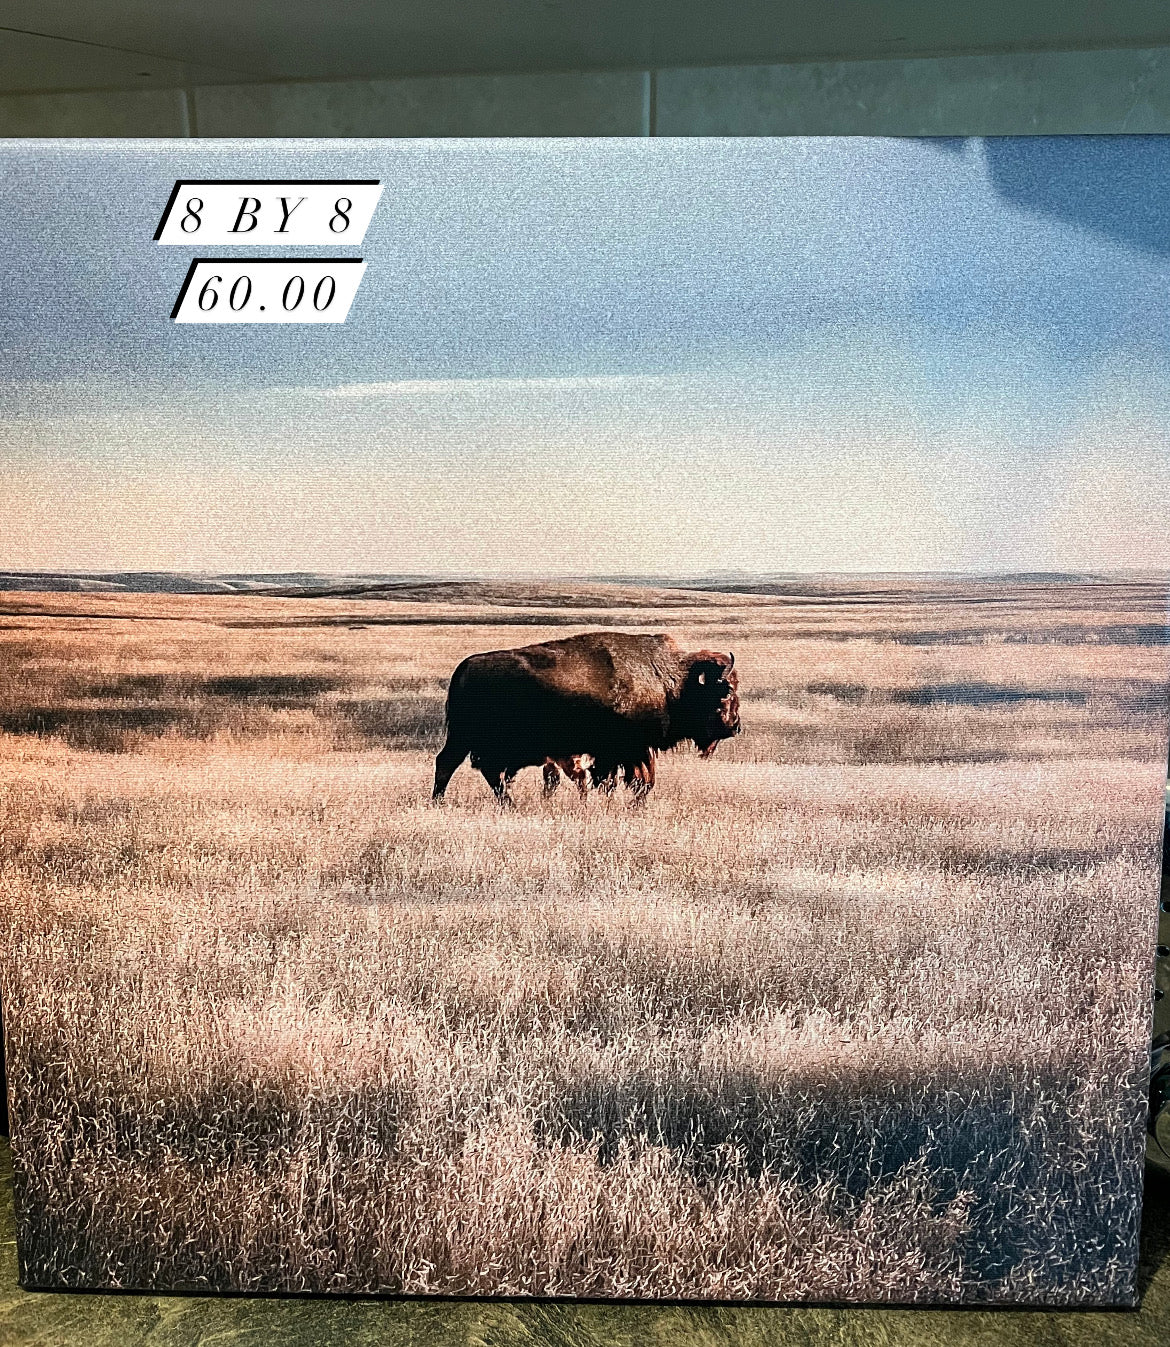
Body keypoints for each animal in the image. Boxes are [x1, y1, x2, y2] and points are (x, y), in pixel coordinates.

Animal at [432, 631, 740, 806]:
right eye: (725, 691)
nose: (735, 726)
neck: (670, 679)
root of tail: (465, 667)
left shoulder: (620, 754)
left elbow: (618, 781)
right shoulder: (631, 750)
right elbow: (639, 782)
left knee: (478, 770)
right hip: (467, 738)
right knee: (453, 764)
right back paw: (446, 802)